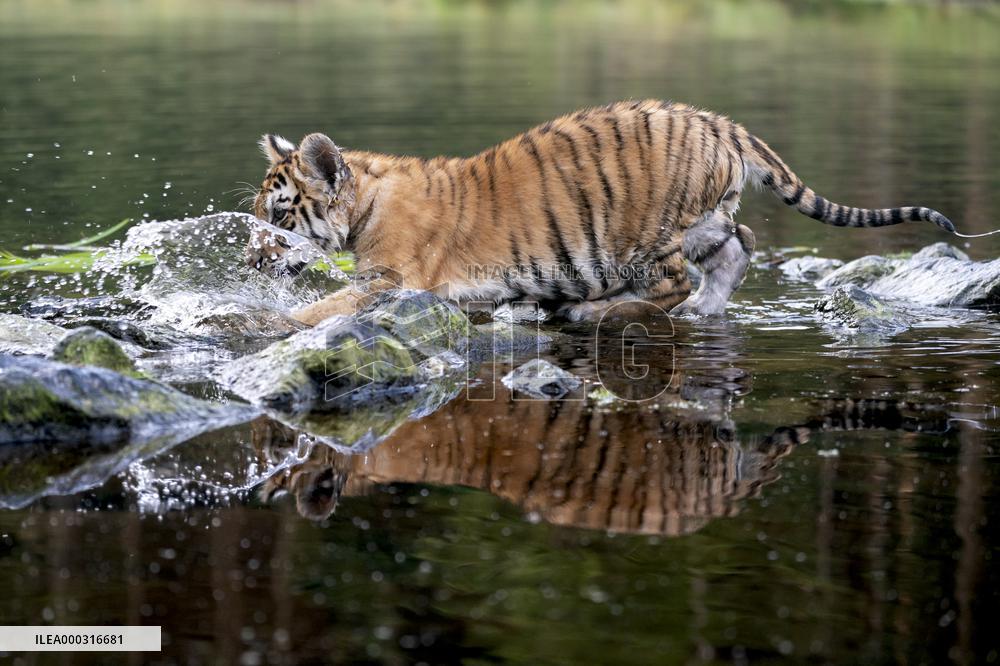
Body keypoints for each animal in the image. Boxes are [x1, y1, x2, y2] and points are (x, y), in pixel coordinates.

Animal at [248, 100, 956, 325]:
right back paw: (705, 312)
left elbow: (318, 310)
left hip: (644, 233)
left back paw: (597, 310)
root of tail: (720, 123)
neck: (365, 203)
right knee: (740, 244)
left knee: (671, 283)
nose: (251, 263)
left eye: (280, 216)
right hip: (705, 220)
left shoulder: (390, 281)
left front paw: (265, 321)